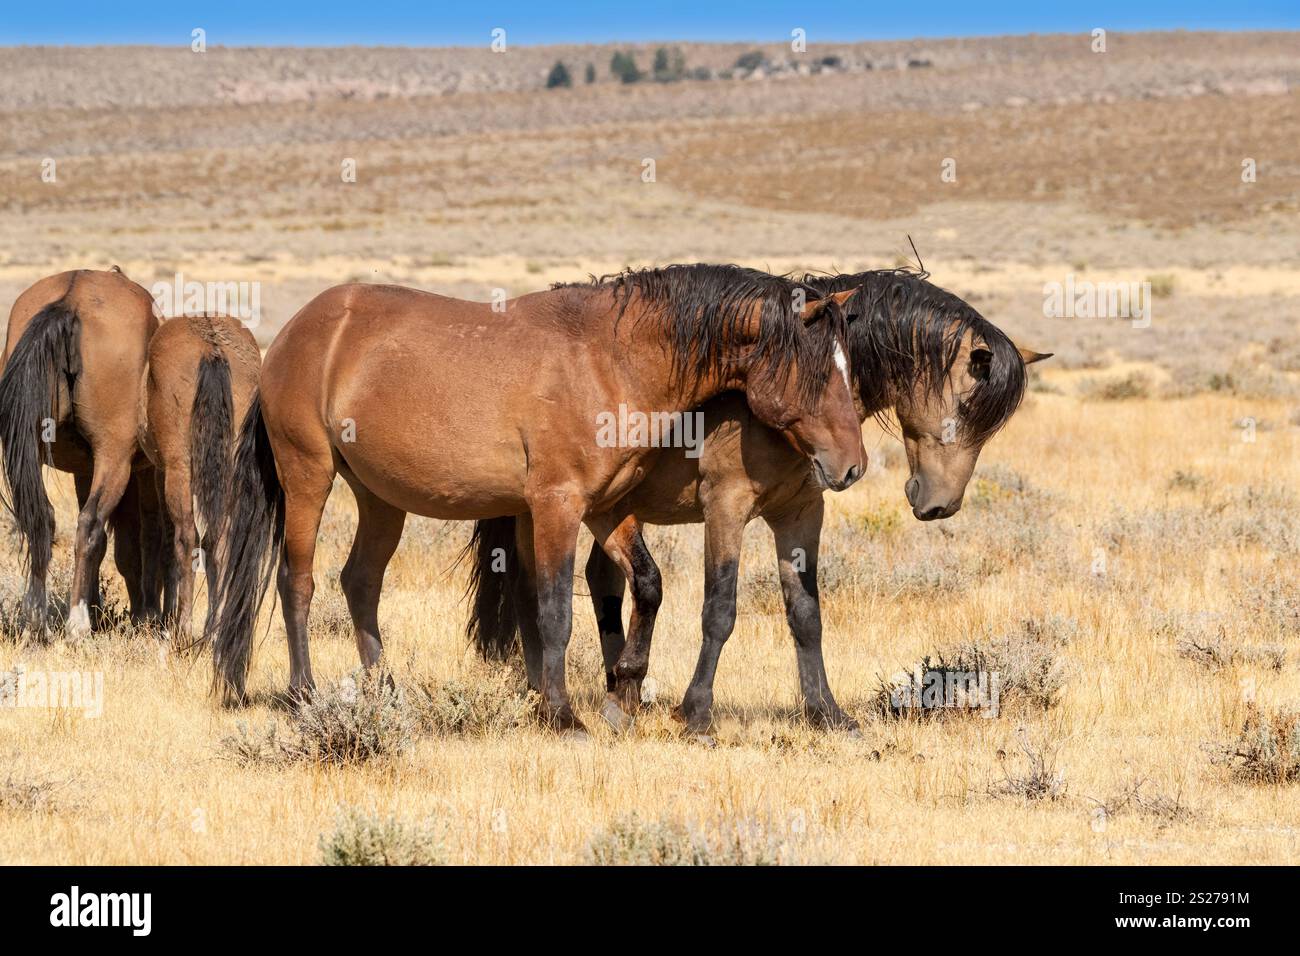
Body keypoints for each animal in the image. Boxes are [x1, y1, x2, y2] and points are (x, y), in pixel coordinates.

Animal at [0, 267, 166, 637]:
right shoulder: (144, 474)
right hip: (113, 460)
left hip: (33, 448)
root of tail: (71, 300)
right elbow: (143, 538)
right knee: (89, 525)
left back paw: (37, 619)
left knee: (43, 519)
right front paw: (146, 614)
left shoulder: (82, 471)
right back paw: (78, 623)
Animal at [137, 314, 261, 641]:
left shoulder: (162, 472)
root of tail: (211, 349)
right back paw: (214, 628)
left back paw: (183, 627)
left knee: (187, 537)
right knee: (221, 540)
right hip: (230, 467)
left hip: (179, 470)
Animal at [205, 264, 867, 733]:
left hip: (379, 498)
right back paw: (305, 693)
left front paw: (614, 686)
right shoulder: (557, 505)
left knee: (360, 582)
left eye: (850, 368)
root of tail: (294, 331)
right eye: (818, 373)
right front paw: (565, 714)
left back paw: (385, 692)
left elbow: (642, 585)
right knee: (298, 581)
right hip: (309, 477)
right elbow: (554, 610)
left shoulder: (604, 507)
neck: (611, 359)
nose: (851, 466)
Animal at [466, 268, 1050, 734]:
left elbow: (806, 614)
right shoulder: (726, 507)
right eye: (964, 407)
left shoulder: (800, 513)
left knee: (602, 580)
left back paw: (621, 693)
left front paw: (827, 713)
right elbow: (719, 609)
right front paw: (696, 713)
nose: (939, 505)